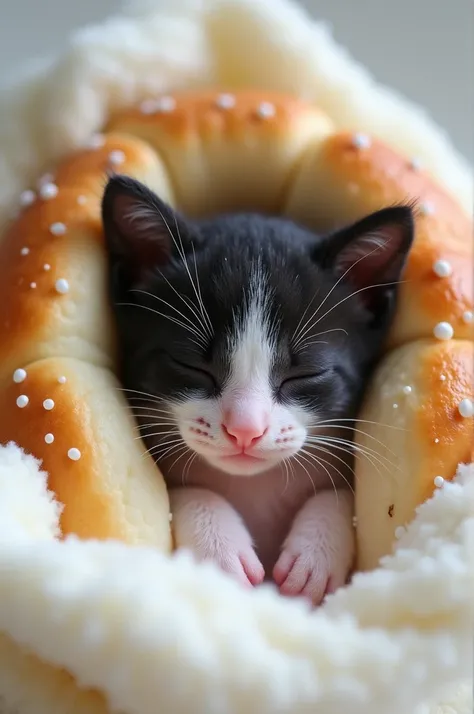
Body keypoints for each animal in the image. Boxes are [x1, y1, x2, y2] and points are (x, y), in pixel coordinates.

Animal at [102, 175, 412, 604]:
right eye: (191, 365)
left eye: (305, 374)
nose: (245, 429)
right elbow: (180, 490)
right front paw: (220, 548)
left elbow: (342, 493)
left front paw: (315, 555)